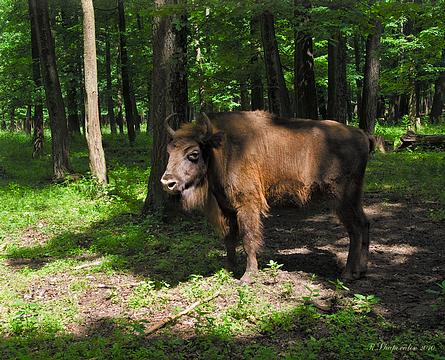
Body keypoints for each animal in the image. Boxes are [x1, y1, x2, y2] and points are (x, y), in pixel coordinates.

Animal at [160, 110, 372, 284]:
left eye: (193, 154)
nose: (167, 182)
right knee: (364, 223)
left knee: (354, 229)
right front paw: (229, 269)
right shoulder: (227, 208)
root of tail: (361, 135)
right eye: (170, 151)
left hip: (341, 199)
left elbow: (248, 237)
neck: (221, 150)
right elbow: (230, 239)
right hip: (354, 198)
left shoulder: (247, 205)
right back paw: (361, 271)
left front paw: (248, 276)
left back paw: (348, 274)